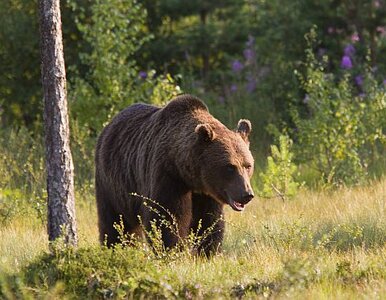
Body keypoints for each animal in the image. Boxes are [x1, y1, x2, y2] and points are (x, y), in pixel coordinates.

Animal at [95, 94, 255, 255]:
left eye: (248, 165)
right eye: (230, 167)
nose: (246, 194)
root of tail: (108, 125)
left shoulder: (207, 193)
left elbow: (209, 220)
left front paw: (208, 251)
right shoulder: (168, 177)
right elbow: (167, 219)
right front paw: (173, 250)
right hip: (113, 183)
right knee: (115, 221)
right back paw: (115, 247)